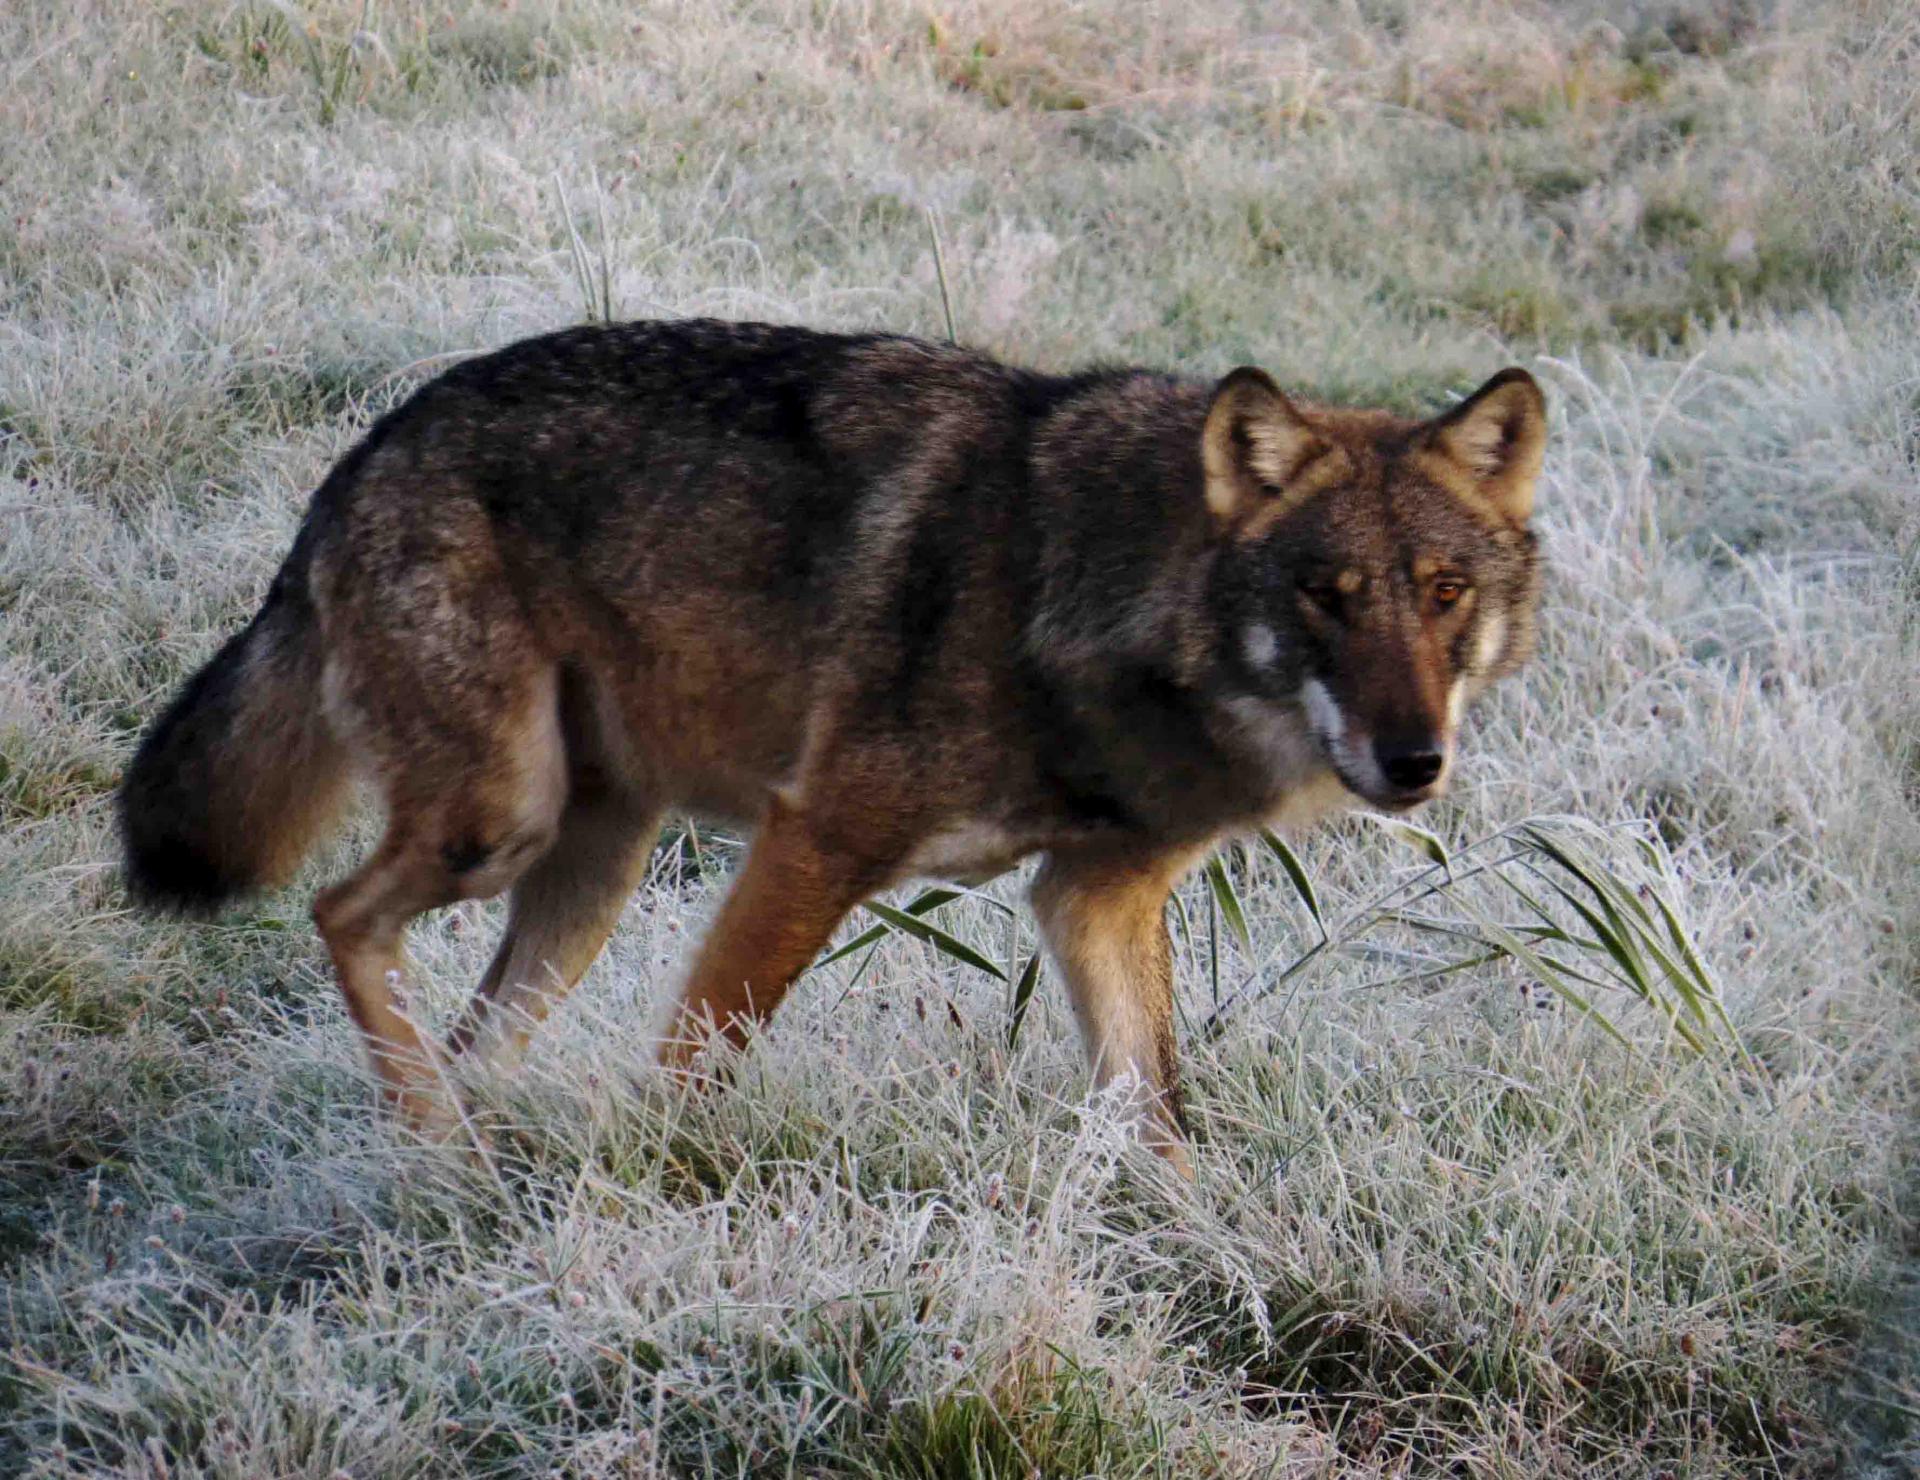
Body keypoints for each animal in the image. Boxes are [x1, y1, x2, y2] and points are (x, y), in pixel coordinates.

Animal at [120, 318, 1543, 1174]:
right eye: (1326, 597)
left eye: (1442, 594)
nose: (1415, 760)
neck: (1087, 597)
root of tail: (369, 447)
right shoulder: (817, 838)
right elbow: (698, 1059)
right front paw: (649, 1199)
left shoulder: (1092, 899)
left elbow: (1162, 1120)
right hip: (497, 823)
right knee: (340, 911)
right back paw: (433, 1148)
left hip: (589, 877)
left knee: (468, 1033)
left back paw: (455, 1165)